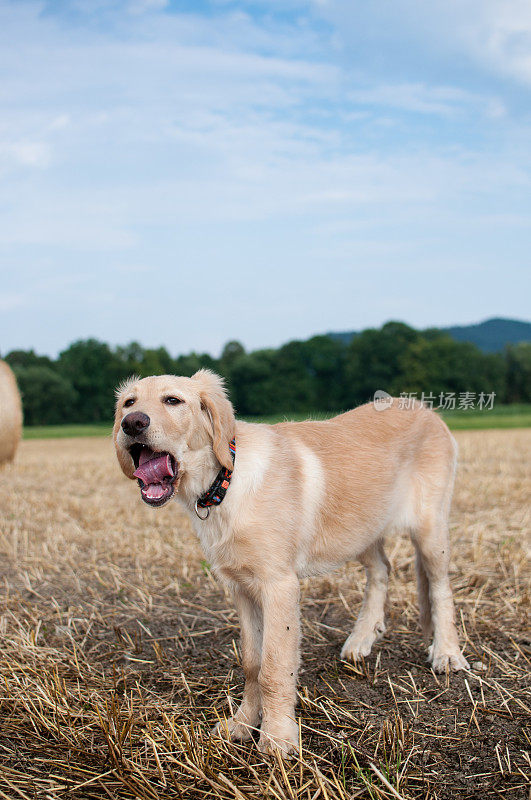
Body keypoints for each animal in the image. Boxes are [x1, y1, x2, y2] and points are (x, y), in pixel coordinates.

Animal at [113, 370, 470, 756]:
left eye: (173, 400)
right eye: (129, 403)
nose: (133, 423)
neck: (225, 483)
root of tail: (425, 409)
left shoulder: (278, 585)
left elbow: (274, 665)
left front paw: (277, 738)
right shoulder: (242, 589)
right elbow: (252, 663)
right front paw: (243, 723)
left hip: (429, 529)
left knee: (440, 588)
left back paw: (447, 653)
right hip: (359, 528)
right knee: (381, 570)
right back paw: (362, 638)